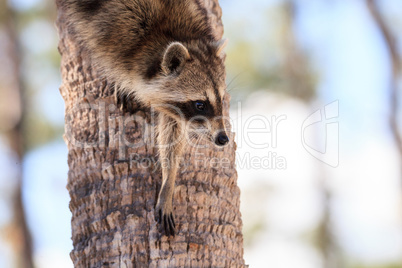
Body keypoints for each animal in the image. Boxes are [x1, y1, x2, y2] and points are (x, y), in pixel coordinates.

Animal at [58, 0, 231, 237]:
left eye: (221, 99)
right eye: (200, 104)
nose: (223, 139)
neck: (171, 33)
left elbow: (172, 134)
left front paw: (168, 181)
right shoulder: (114, 34)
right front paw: (119, 82)